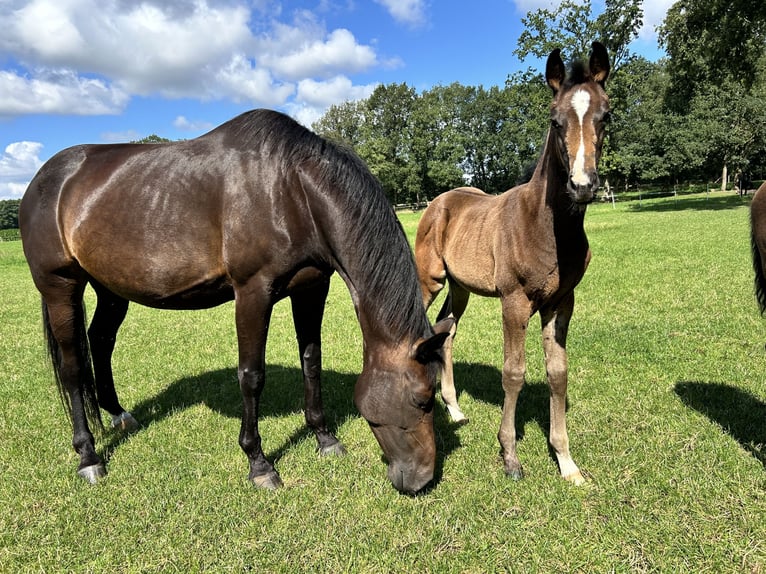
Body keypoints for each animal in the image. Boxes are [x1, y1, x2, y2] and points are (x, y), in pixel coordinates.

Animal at [18, 110, 452, 498]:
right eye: (423, 398)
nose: (421, 479)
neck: (292, 190)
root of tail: (45, 178)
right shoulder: (252, 293)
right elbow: (251, 376)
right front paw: (259, 464)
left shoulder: (312, 288)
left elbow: (311, 361)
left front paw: (324, 439)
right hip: (60, 287)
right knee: (73, 367)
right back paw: (89, 457)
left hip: (111, 289)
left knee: (101, 341)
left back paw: (118, 414)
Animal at [414, 44, 612, 486]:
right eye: (555, 120)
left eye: (605, 116)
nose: (582, 185)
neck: (546, 227)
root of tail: (437, 201)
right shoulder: (514, 301)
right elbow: (514, 373)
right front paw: (510, 456)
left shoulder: (561, 302)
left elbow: (558, 373)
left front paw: (566, 462)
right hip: (431, 279)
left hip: (461, 288)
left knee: (445, 330)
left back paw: (454, 409)